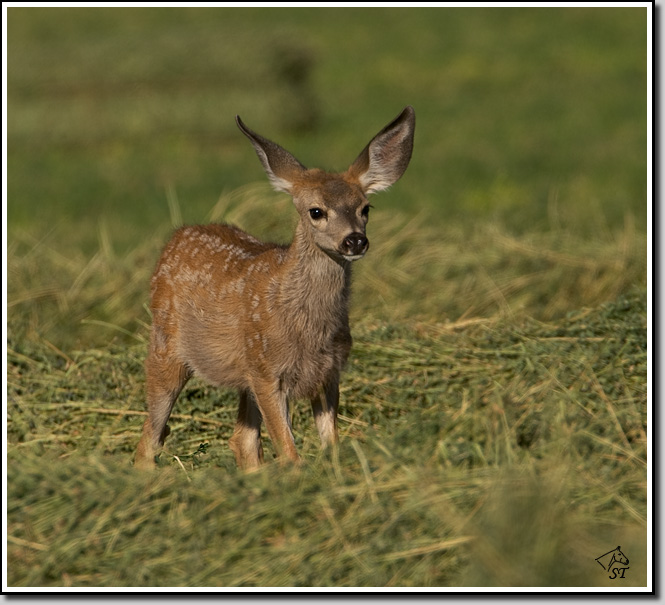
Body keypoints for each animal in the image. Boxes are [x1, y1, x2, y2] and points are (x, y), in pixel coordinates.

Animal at [134, 106, 415, 471]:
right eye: (316, 211)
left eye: (365, 208)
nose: (355, 240)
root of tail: (176, 236)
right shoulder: (267, 370)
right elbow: (290, 452)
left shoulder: (329, 371)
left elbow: (331, 442)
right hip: (166, 348)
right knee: (150, 437)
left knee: (241, 438)